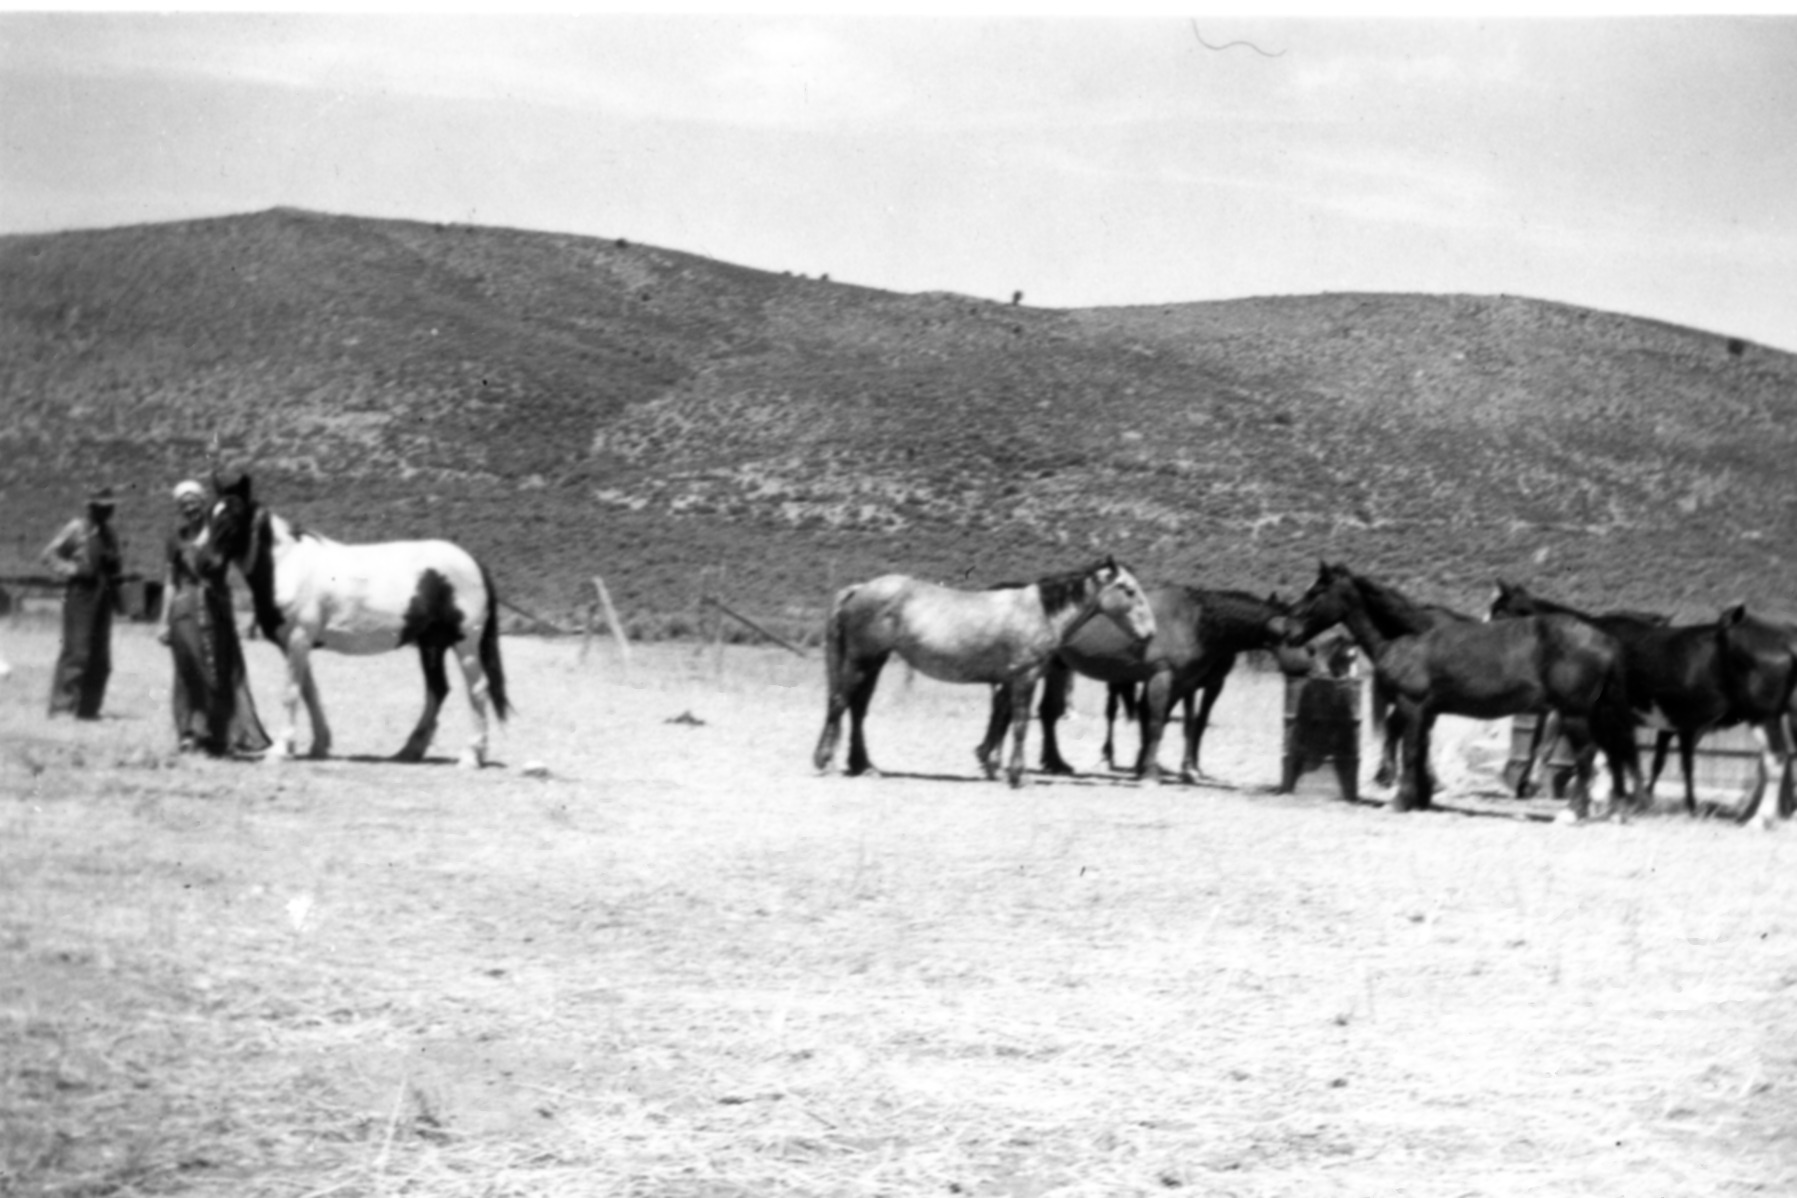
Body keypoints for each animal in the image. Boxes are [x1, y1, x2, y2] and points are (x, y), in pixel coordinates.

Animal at [195, 471, 511, 767]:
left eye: (233, 515)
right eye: (209, 514)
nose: (203, 563)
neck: (286, 566)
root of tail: (474, 563)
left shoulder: (298, 638)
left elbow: (292, 692)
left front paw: (281, 750)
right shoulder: (295, 644)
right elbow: (309, 692)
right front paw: (319, 744)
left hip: (465, 643)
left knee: (477, 690)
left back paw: (471, 755)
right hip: (431, 644)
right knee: (438, 690)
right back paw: (411, 750)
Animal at [811, 557, 1155, 787]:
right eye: (1127, 589)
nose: (1149, 633)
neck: (1039, 612)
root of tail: (859, 589)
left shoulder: (1011, 680)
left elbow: (1004, 722)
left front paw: (997, 765)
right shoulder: (1025, 677)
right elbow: (1019, 724)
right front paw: (1017, 775)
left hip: (874, 661)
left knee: (856, 709)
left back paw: (863, 765)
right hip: (862, 660)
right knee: (839, 703)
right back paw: (825, 762)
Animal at [979, 587, 1313, 783]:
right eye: (1296, 637)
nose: (1308, 665)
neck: (1196, 620)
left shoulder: (1182, 684)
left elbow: (1169, 723)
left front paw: (1154, 766)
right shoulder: (1162, 676)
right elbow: (1154, 723)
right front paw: (1151, 771)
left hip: (1053, 668)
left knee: (1034, 711)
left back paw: (1040, 761)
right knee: (1009, 709)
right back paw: (996, 758)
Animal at [1287, 563, 1641, 817]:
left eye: (1316, 592)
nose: (1288, 630)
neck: (1410, 636)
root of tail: (1604, 639)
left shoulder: (1412, 705)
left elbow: (1409, 749)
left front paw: (1400, 799)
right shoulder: (1426, 712)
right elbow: (1419, 750)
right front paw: (1420, 796)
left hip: (1574, 713)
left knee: (1586, 754)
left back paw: (1574, 812)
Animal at [1489, 581, 1795, 821]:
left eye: (1498, 613)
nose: (1522, 786)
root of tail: (1786, 641)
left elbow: (1610, 757)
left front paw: (1607, 801)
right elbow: (1616, 758)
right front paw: (1615, 801)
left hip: (1764, 716)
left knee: (1776, 759)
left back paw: (1761, 818)